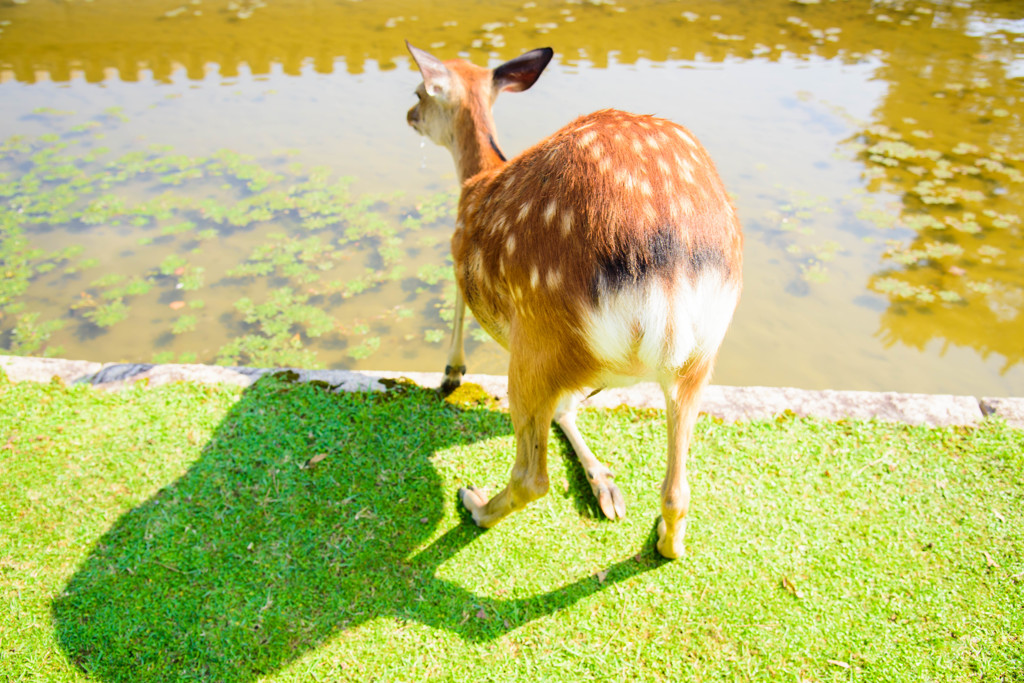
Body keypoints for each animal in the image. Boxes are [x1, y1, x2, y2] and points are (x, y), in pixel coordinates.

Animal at [405, 40, 745, 557]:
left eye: (420, 92)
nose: (408, 115)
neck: (477, 176)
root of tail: (666, 272)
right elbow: (568, 407)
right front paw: (603, 481)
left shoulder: (458, 251)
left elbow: (459, 310)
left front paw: (449, 375)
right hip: (699, 355)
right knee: (677, 490)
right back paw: (659, 535)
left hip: (538, 332)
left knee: (532, 475)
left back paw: (475, 504)